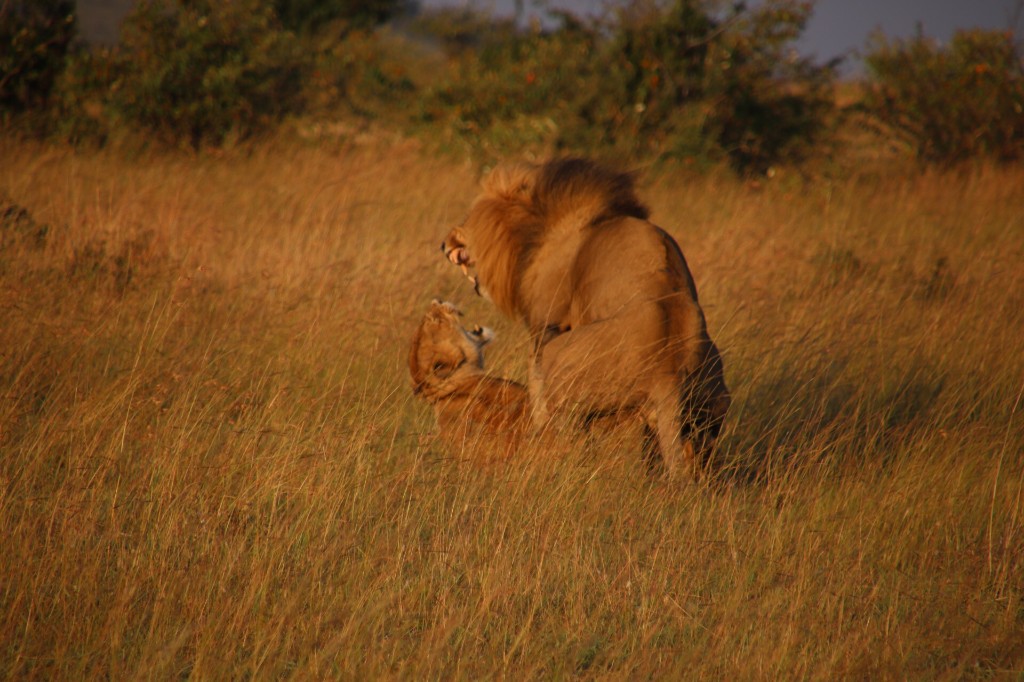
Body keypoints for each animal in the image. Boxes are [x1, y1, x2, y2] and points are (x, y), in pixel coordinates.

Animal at [442, 157, 730, 480]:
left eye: (468, 218)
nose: (443, 243)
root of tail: (666, 374)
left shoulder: (546, 324)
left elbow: (535, 382)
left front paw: (537, 430)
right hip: (715, 395)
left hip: (564, 358)